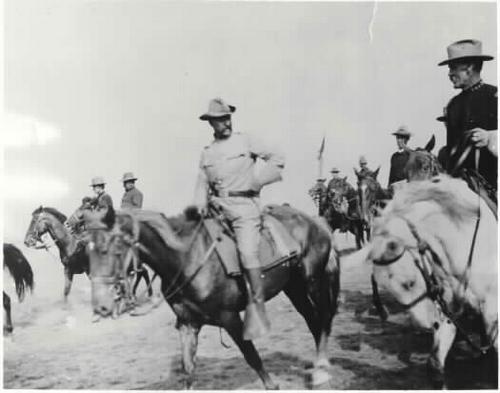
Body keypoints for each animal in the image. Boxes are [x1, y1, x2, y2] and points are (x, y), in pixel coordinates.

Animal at [23, 205, 152, 300]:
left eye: (34, 220)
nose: (27, 241)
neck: (72, 245)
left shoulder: (90, 270)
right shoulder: (68, 270)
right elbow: (66, 291)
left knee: (142, 272)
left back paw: (146, 294)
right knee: (140, 272)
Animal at [83, 204, 340, 388]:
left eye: (112, 249)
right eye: (87, 251)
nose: (101, 307)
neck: (186, 259)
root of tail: (315, 221)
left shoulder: (230, 318)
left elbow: (252, 356)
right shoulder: (187, 324)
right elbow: (187, 370)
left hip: (313, 282)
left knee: (323, 319)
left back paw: (322, 370)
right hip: (294, 288)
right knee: (313, 321)